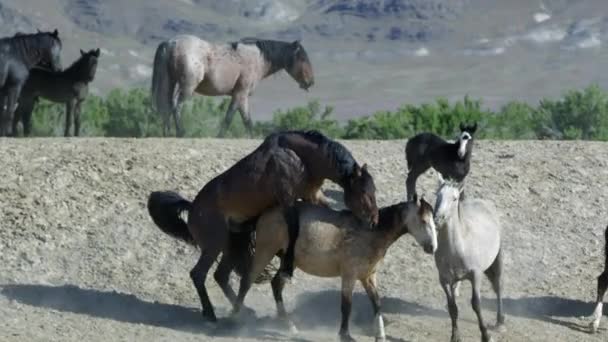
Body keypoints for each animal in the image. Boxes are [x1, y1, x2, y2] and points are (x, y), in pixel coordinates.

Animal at [147, 130, 378, 322]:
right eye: (364, 192)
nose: (374, 221)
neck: (299, 157)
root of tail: (192, 208)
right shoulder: (287, 201)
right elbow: (293, 229)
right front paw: (287, 265)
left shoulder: (313, 195)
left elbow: (329, 212)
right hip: (215, 245)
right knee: (198, 274)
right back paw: (210, 313)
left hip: (233, 244)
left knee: (220, 275)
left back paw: (243, 310)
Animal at [151, 34, 314, 136]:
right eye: (302, 58)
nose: (310, 82)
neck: (258, 59)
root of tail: (170, 43)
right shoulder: (240, 94)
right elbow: (230, 117)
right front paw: (220, 136)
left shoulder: (242, 96)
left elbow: (246, 120)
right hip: (187, 86)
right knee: (176, 105)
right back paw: (181, 132)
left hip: (170, 82)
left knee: (166, 106)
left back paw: (167, 133)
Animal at [434, 179, 506, 342]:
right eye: (437, 195)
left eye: (454, 198)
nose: (437, 219)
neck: (457, 248)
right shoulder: (444, 280)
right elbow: (452, 307)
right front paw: (455, 336)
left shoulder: (476, 275)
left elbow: (476, 304)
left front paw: (486, 335)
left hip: (496, 260)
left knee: (498, 286)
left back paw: (499, 322)